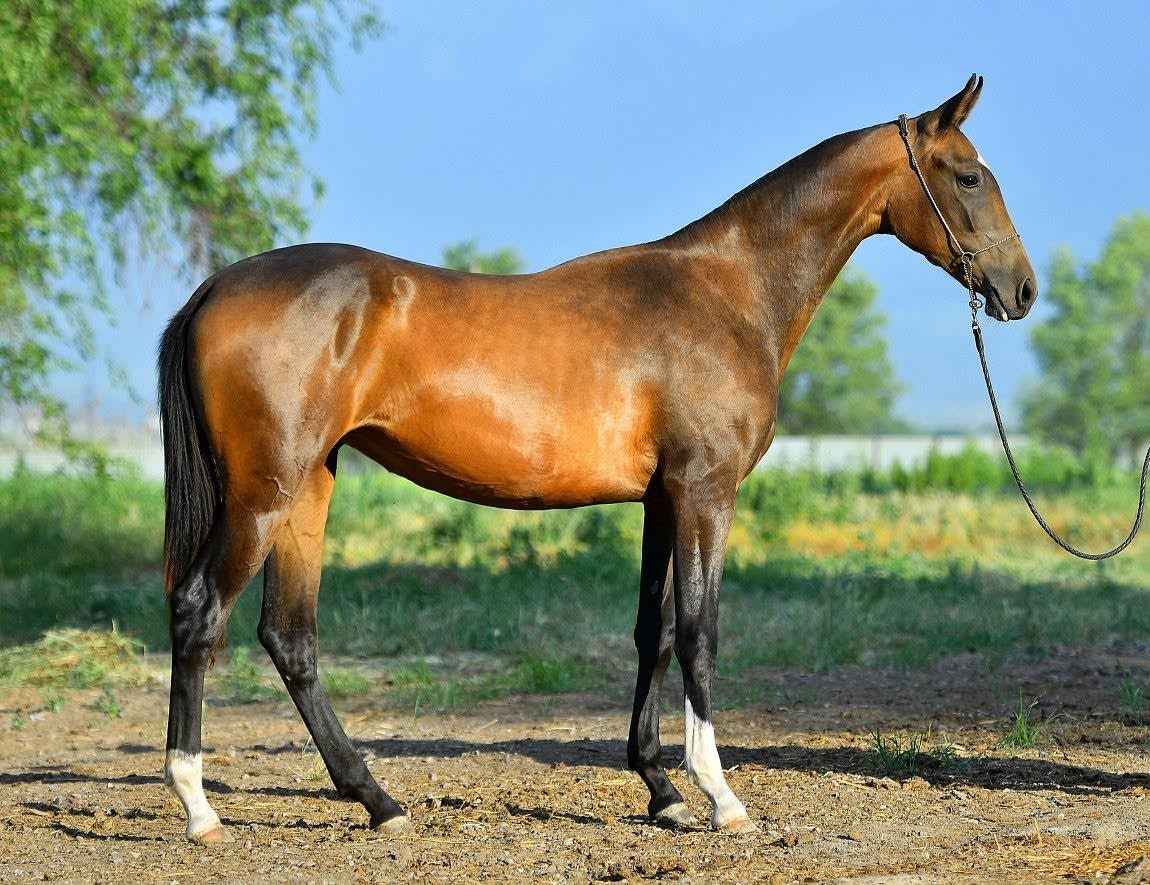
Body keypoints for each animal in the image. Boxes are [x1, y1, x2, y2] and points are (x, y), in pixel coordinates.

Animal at [158, 74, 1036, 842]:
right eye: (967, 174)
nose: (1022, 288)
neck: (728, 292)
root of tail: (212, 290)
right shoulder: (705, 491)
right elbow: (700, 632)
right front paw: (719, 796)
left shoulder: (660, 497)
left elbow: (654, 629)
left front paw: (662, 790)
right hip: (264, 492)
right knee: (201, 612)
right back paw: (199, 806)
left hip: (309, 486)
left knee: (290, 637)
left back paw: (379, 800)